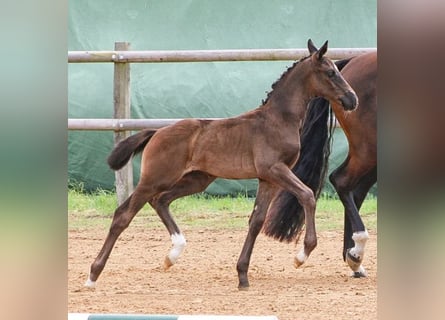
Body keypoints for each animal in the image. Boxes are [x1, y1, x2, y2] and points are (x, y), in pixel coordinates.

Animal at [264, 51, 374, 276]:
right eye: (330, 74)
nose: (351, 99)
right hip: (368, 149)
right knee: (342, 181)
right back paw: (356, 253)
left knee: (354, 188)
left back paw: (354, 258)